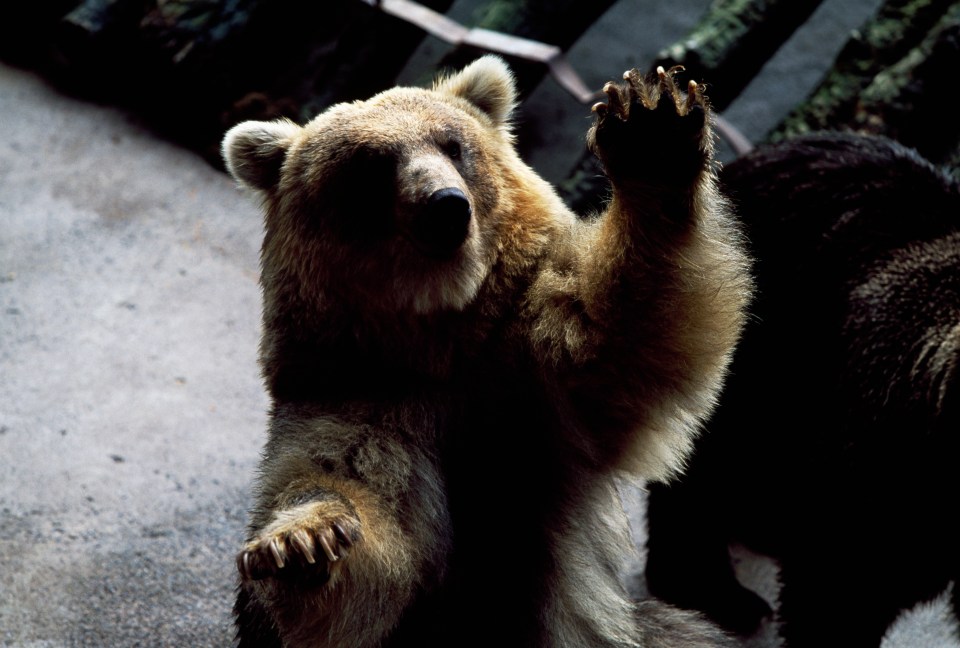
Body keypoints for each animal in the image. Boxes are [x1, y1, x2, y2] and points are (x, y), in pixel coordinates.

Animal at [222, 55, 752, 648]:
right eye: (372, 164)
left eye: (453, 145)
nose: (445, 207)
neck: (444, 336)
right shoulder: (360, 395)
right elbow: (352, 503)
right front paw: (299, 544)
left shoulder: (533, 378)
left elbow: (625, 336)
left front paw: (652, 128)